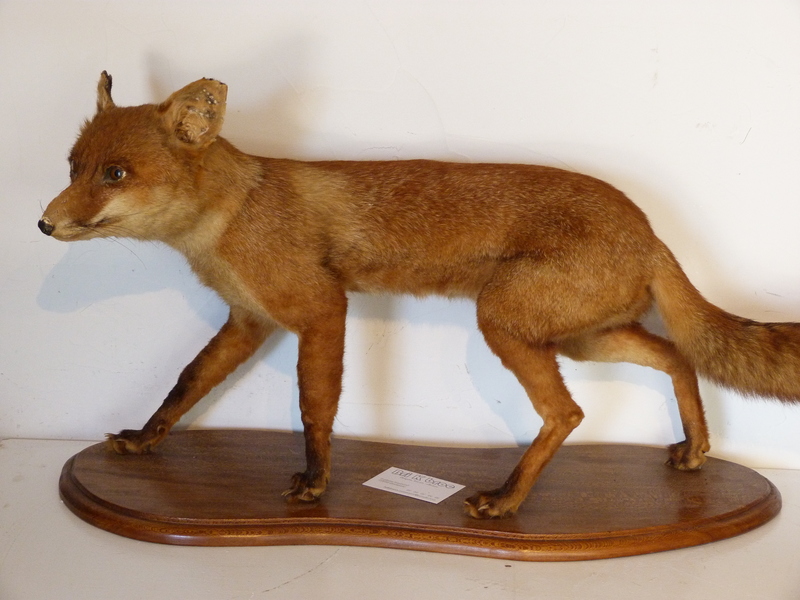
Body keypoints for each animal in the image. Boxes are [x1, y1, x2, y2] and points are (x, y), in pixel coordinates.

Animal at [38, 72, 800, 519]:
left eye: (115, 173)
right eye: (73, 167)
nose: (43, 224)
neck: (233, 216)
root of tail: (649, 228)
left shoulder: (321, 308)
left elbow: (315, 406)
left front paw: (316, 482)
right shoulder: (248, 320)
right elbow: (186, 383)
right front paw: (145, 439)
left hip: (507, 324)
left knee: (569, 413)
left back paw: (507, 500)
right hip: (585, 336)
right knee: (678, 356)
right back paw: (694, 450)